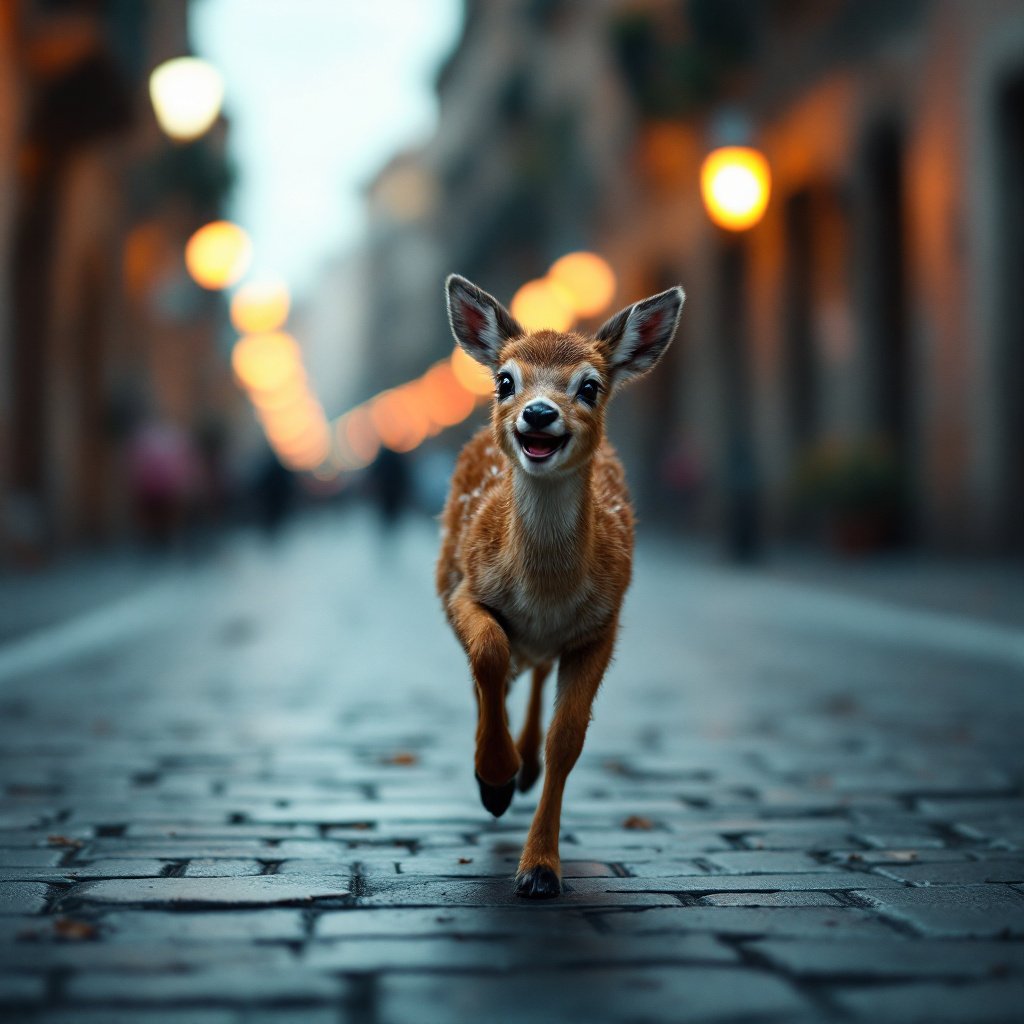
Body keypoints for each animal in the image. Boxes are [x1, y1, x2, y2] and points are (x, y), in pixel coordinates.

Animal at [436, 274, 684, 899]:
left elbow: (567, 738)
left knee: (536, 671)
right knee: (499, 670)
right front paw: (493, 777)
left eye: (590, 386)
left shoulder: (602, 624)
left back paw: (525, 767)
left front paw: (541, 870)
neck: (543, 595)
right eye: (506, 379)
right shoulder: (463, 589)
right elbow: (488, 653)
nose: (539, 413)